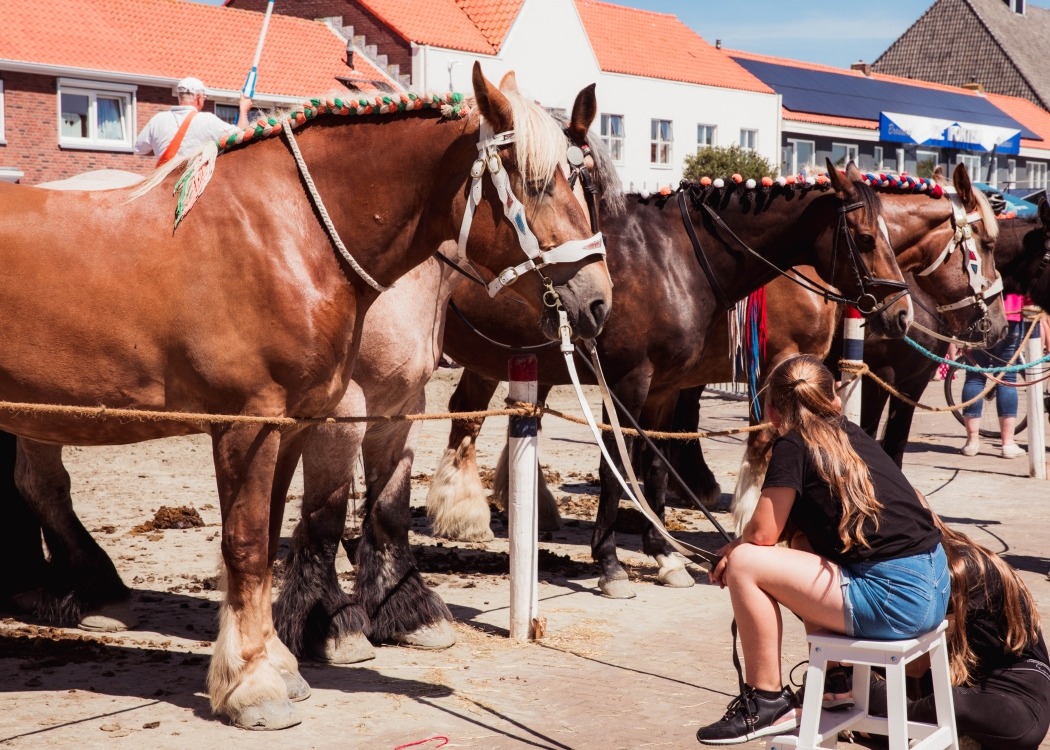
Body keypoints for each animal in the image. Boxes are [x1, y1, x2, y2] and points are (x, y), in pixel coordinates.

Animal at [0, 62, 613, 722]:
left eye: (581, 179)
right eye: (536, 183)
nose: (599, 301)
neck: (286, 234)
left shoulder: (297, 426)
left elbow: (275, 539)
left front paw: (276, 660)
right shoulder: (251, 427)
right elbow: (250, 543)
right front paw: (254, 683)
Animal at [428, 157, 919, 596]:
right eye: (866, 238)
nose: (901, 314)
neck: (673, 261)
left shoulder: (663, 390)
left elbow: (658, 465)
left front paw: (664, 554)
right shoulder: (628, 384)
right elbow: (615, 467)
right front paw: (610, 563)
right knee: (464, 416)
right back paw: (463, 515)